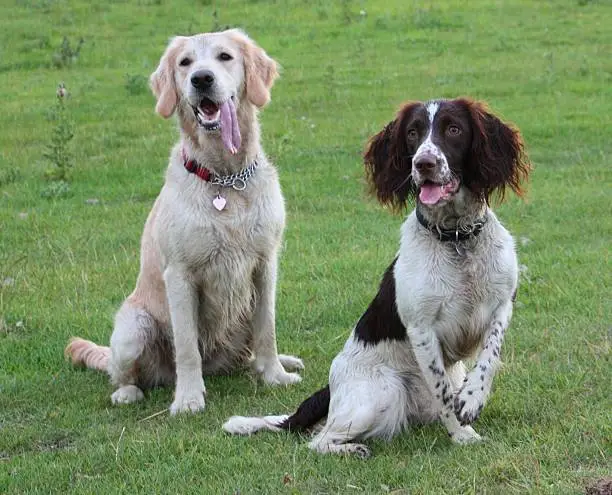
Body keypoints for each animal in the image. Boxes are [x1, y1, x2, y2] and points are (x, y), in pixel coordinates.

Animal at [65, 30, 304, 414]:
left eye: (225, 57)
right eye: (185, 63)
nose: (201, 79)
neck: (224, 179)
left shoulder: (265, 264)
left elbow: (267, 329)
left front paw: (275, 376)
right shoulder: (180, 274)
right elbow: (188, 346)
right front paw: (189, 398)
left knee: (251, 350)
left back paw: (282, 361)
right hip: (133, 327)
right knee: (123, 372)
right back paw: (127, 392)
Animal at [224, 99, 532, 460]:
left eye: (454, 129)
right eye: (412, 133)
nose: (423, 163)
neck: (457, 238)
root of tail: (331, 390)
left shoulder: (502, 305)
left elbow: (489, 358)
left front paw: (472, 399)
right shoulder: (421, 329)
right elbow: (443, 392)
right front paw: (462, 434)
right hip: (382, 392)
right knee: (319, 439)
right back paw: (353, 449)